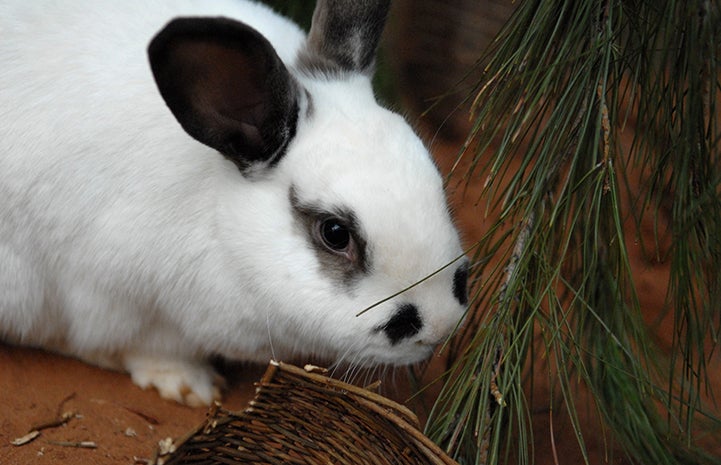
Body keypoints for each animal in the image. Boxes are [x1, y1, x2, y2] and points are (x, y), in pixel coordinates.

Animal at [0, 0, 469, 407]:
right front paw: (192, 388)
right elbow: (137, 349)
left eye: (437, 179)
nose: (441, 325)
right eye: (335, 233)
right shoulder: (107, 297)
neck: (219, 227)